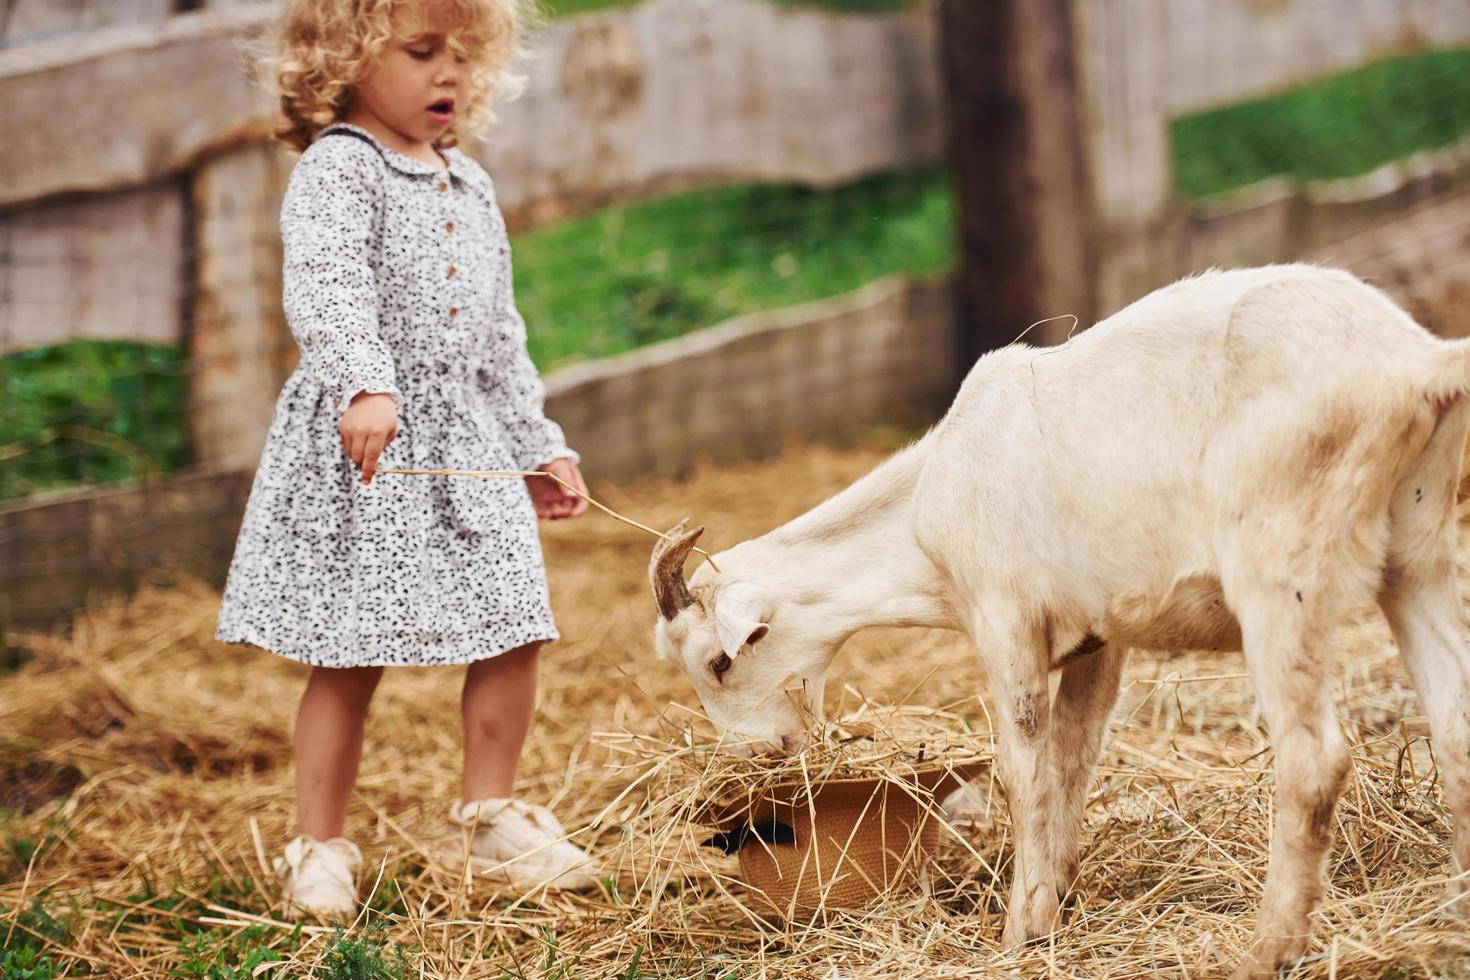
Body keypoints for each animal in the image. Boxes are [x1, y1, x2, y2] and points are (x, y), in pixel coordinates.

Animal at [649, 264, 1470, 975]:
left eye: (720, 661)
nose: (760, 755)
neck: (921, 512)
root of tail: (1415, 363)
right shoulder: (1096, 641)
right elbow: (1074, 759)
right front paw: (1057, 900)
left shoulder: (1003, 617)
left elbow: (1023, 770)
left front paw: (1019, 931)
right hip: (1416, 553)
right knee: (1455, 725)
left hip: (1280, 565)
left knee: (1313, 761)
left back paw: (1267, 950)